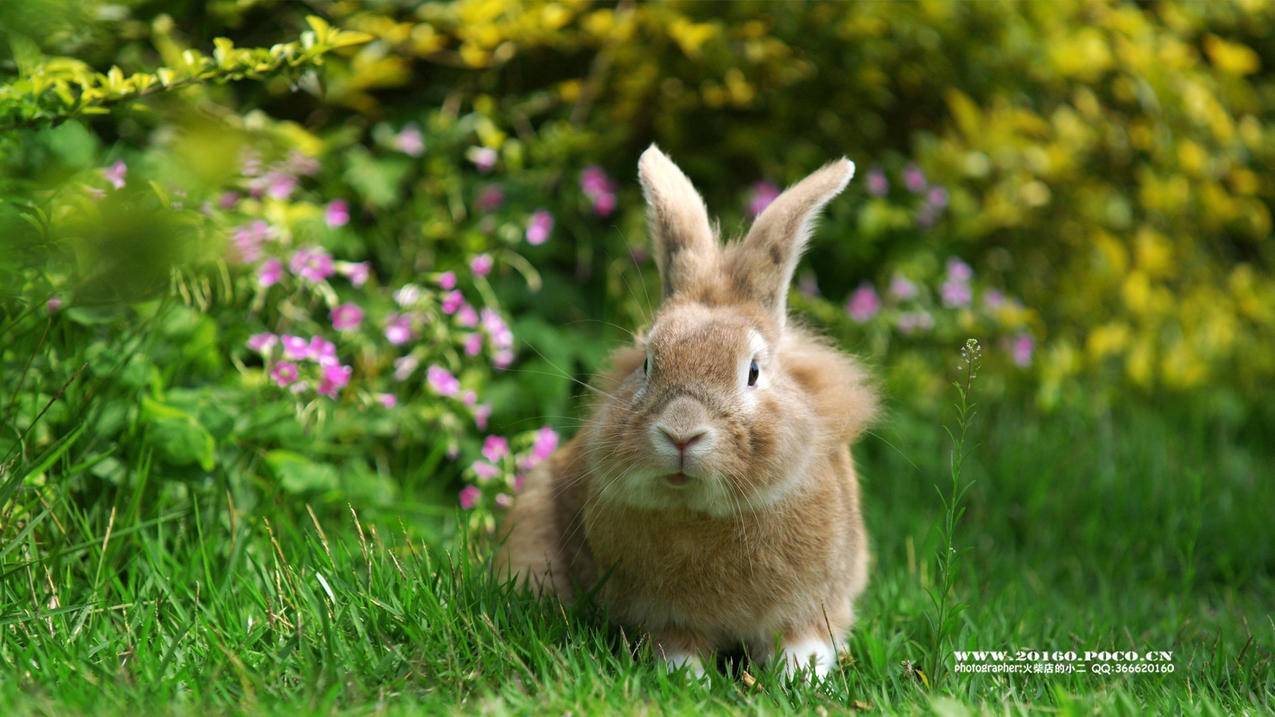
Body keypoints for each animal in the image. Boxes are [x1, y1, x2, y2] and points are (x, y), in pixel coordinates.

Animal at [497, 143, 877, 673]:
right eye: (647, 363)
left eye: (753, 371)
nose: (681, 433)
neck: (703, 513)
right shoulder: (663, 616)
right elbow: (677, 650)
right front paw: (687, 679)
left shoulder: (815, 605)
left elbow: (804, 645)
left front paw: (801, 679)